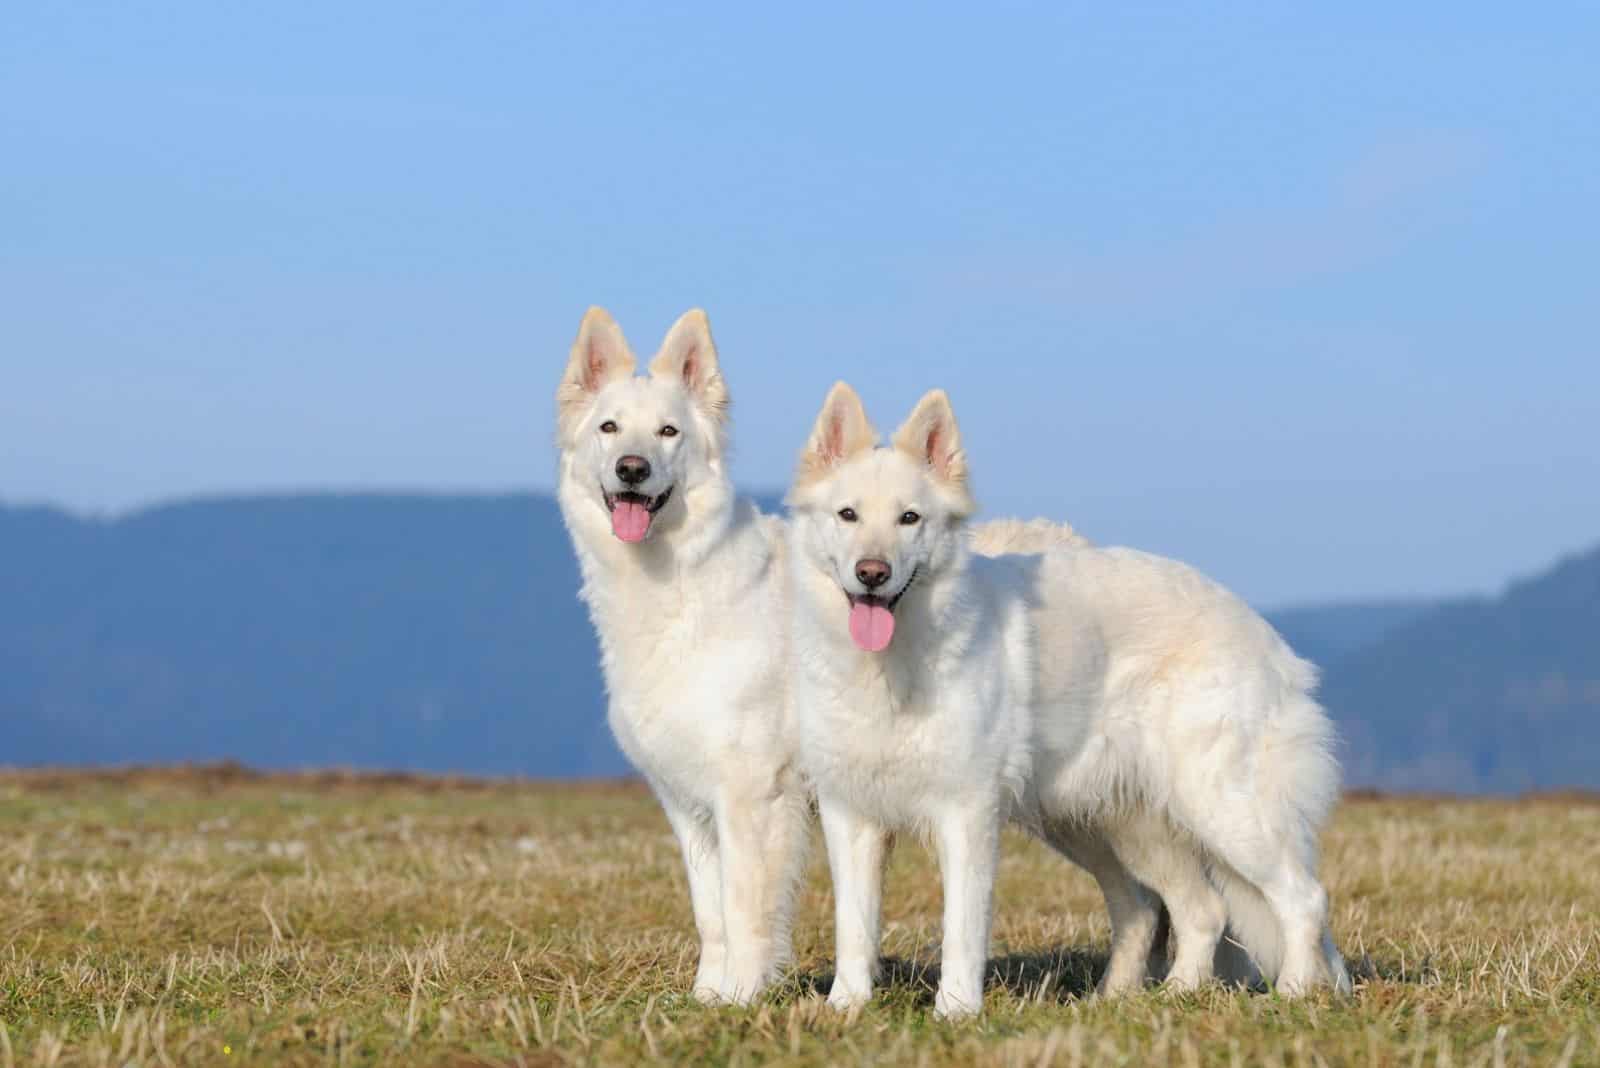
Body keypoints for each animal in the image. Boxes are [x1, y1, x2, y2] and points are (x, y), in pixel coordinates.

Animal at [553, 306, 806, 1004]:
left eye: (669, 432)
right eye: (609, 427)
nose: (632, 468)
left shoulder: (751, 794)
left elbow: (746, 907)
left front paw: (745, 998)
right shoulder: (688, 803)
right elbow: (710, 911)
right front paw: (707, 999)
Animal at [790, 383, 1350, 1016]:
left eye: (910, 518)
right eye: (848, 515)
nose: (872, 573)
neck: (892, 663)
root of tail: (1262, 631)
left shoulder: (966, 814)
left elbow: (962, 927)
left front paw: (956, 1011)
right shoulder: (850, 816)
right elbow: (854, 926)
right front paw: (845, 1008)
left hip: (1225, 812)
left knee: (1303, 898)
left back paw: (1296, 994)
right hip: (1117, 826)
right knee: (1198, 909)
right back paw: (1168, 997)